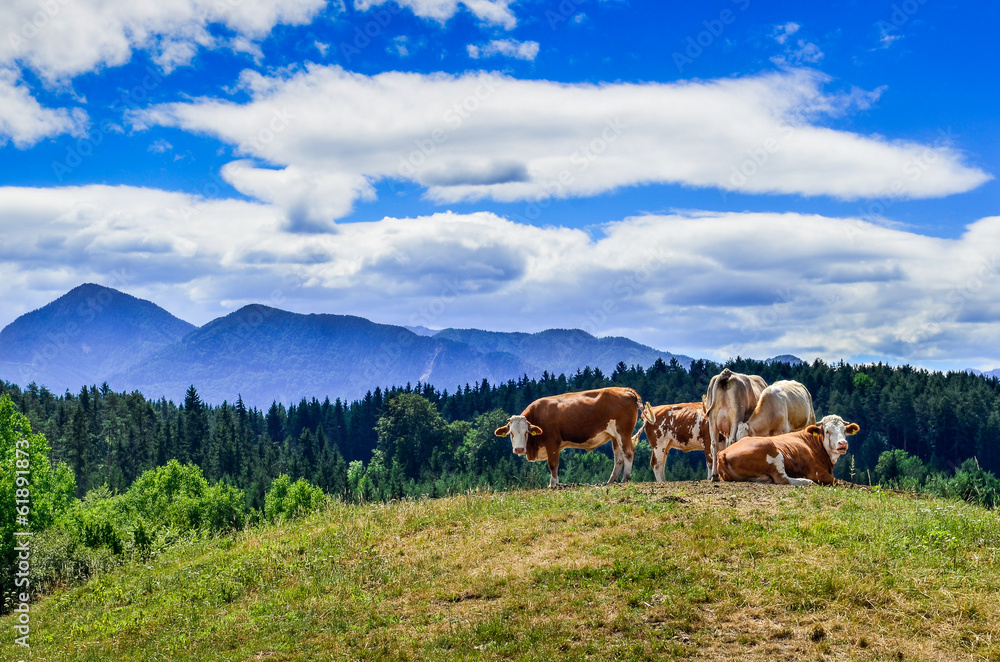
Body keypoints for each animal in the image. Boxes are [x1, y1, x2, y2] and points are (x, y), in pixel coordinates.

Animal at [494, 386, 656, 490]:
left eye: (526, 432)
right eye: (511, 433)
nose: (519, 449)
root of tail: (625, 389)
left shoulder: (553, 442)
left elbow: (553, 464)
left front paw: (553, 484)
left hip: (623, 432)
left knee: (628, 452)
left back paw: (625, 479)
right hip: (615, 436)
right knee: (619, 457)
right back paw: (611, 480)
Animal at [720, 416, 860, 488]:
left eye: (844, 430)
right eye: (827, 431)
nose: (842, 443)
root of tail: (723, 453)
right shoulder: (816, 472)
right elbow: (837, 481)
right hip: (771, 449)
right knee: (782, 479)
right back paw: (806, 482)